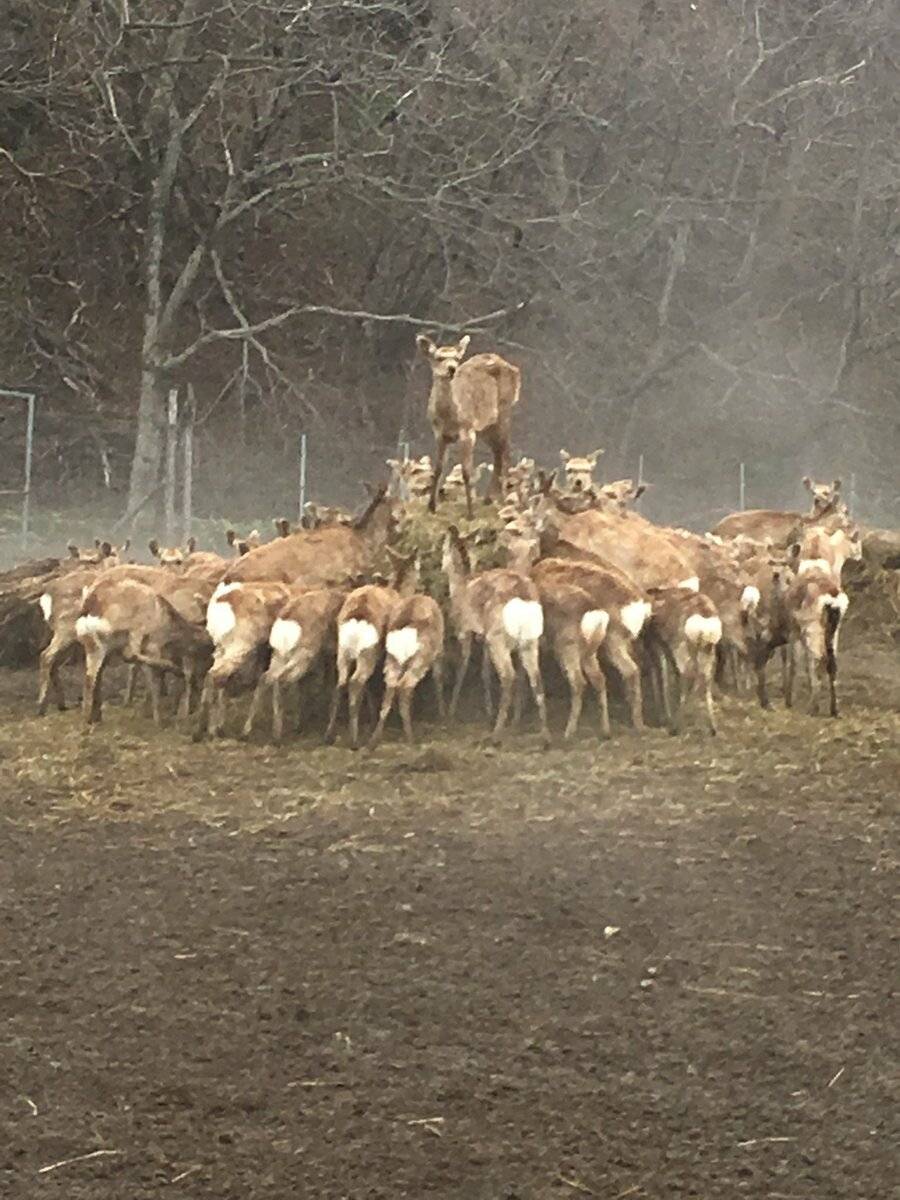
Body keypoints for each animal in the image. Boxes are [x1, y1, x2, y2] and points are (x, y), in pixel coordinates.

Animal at [415, 333, 520, 516]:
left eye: (457, 358)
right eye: (439, 357)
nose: (452, 368)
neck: (448, 417)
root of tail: (515, 370)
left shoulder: (467, 430)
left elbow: (466, 472)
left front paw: (470, 513)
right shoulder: (439, 434)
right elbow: (438, 469)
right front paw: (431, 507)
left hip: (504, 411)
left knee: (506, 451)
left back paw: (502, 498)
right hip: (486, 426)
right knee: (498, 452)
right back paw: (489, 498)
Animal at [441, 523, 549, 739]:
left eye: (443, 548)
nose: (441, 565)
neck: (460, 587)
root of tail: (523, 597)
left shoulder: (465, 630)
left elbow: (463, 664)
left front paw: (452, 711)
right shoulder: (484, 638)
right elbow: (485, 670)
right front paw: (488, 711)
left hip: (499, 638)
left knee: (508, 675)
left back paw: (496, 735)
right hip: (528, 640)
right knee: (536, 676)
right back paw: (545, 736)